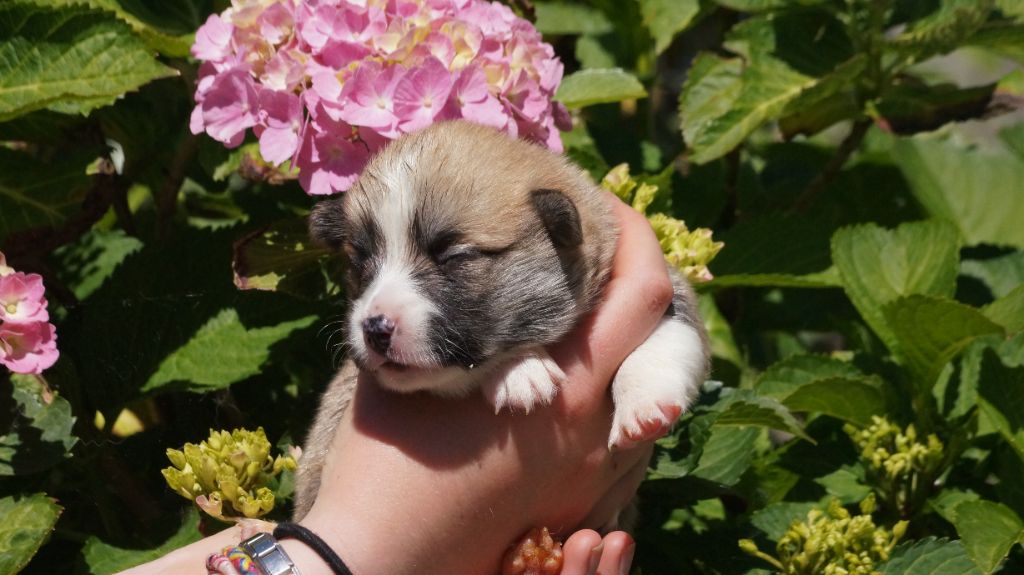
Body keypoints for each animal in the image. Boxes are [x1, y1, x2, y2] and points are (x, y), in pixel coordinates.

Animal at [299, 120, 704, 519]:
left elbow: (672, 332)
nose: (374, 329)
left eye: (454, 257)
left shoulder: (669, 289)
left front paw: (644, 405)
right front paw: (520, 371)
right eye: (360, 263)